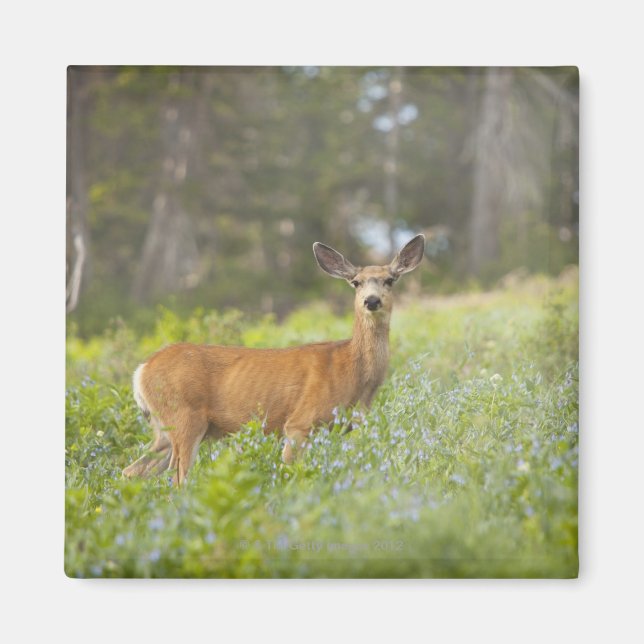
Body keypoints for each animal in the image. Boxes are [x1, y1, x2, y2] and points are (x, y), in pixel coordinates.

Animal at [122, 234, 425, 486]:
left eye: (390, 280)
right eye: (356, 282)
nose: (371, 301)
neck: (352, 370)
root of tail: (141, 371)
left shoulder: (339, 429)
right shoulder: (299, 423)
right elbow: (292, 473)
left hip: (163, 430)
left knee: (132, 470)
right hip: (184, 416)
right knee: (178, 480)